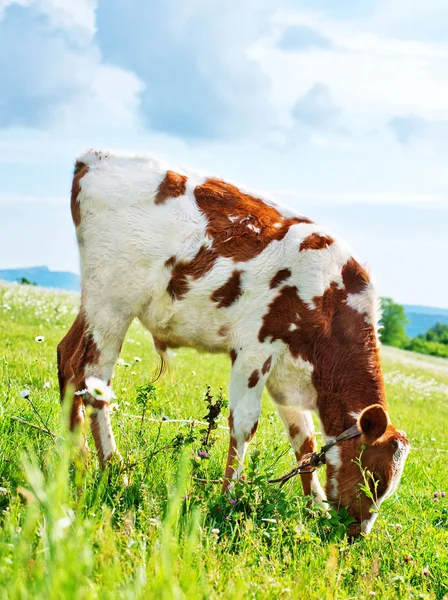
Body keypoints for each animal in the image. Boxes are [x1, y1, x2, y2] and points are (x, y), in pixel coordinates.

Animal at [57, 149, 412, 536]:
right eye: (374, 477)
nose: (355, 534)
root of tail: (95, 158)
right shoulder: (255, 348)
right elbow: (244, 425)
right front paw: (229, 498)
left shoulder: (286, 369)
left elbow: (303, 439)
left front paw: (314, 504)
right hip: (112, 303)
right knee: (93, 381)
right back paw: (111, 470)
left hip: (94, 301)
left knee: (67, 358)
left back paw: (72, 455)